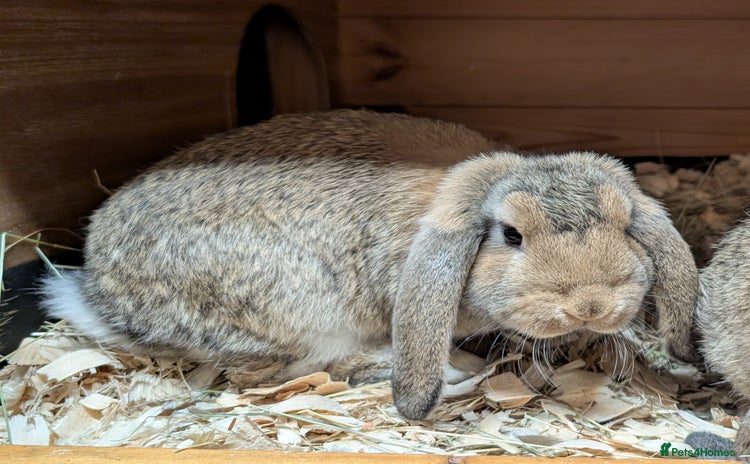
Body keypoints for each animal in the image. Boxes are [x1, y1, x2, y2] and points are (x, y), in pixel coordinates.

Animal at [39, 109, 699, 420]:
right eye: (511, 235)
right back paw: (451, 372)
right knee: (291, 371)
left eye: (623, 224)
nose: (592, 303)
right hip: (297, 311)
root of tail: (101, 292)